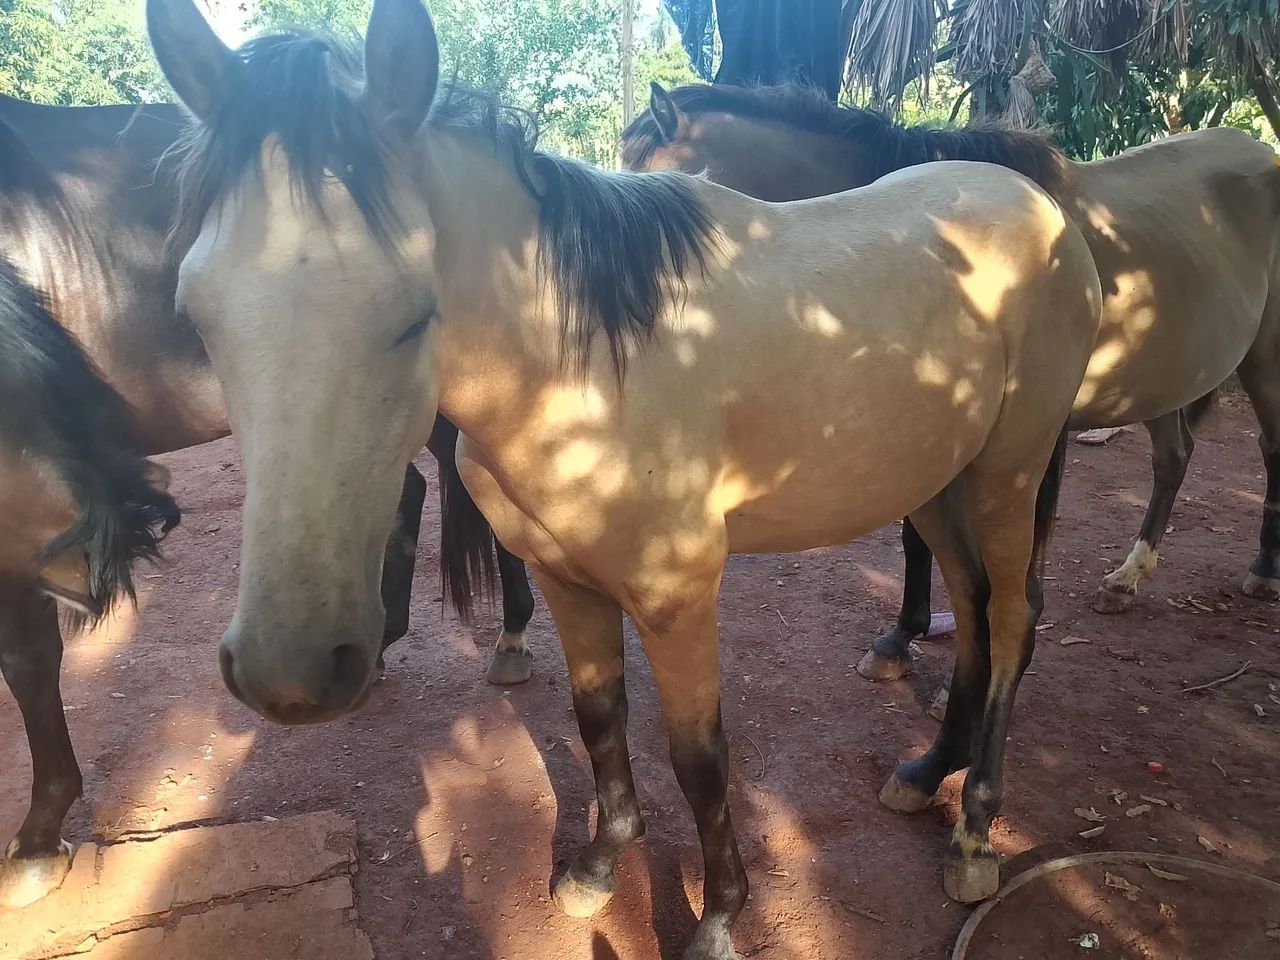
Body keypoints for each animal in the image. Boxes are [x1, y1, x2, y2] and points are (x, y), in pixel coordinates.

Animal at [146, 1, 1104, 953]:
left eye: (416, 313)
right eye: (195, 314)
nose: (291, 672)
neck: (578, 368)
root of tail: (1038, 204)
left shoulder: (678, 596)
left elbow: (699, 757)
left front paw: (717, 916)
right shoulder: (565, 580)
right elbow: (599, 721)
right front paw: (599, 867)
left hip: (1010, 470)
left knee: (1013, 617)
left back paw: (975, 833)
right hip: (939, 480)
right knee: (972, 609)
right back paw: (928, 771)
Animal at [623, 81, 1280, 682]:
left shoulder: (1038, 434)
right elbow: (917, 537)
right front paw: (901, 637)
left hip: (1262, 358)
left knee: (1267, 449)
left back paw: (1262, 570)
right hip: (1168, 377)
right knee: (1175, 456)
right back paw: (1128, 578)